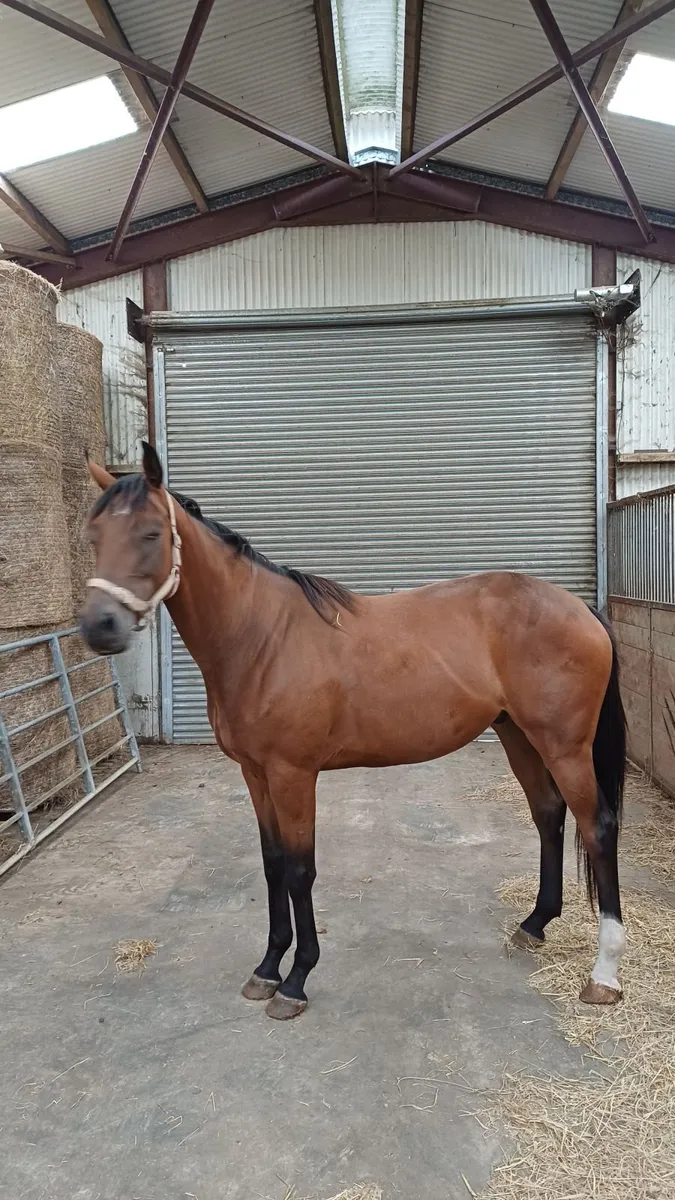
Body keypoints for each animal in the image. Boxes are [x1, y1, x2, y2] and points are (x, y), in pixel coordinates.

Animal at [80, 442, 626, 1021]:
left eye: (150, 534)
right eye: (94, 537)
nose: (99, 627)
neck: (262, 638)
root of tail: (580, 607)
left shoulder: (293, 775)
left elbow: (300, 871)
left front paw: (296, 980)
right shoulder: (255, 773)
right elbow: (273, 864)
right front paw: (267, 969)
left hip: (565, 746)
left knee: (597, 827)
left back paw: (604, 974)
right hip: (518, 736)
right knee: (548, 815)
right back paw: (534, 924)